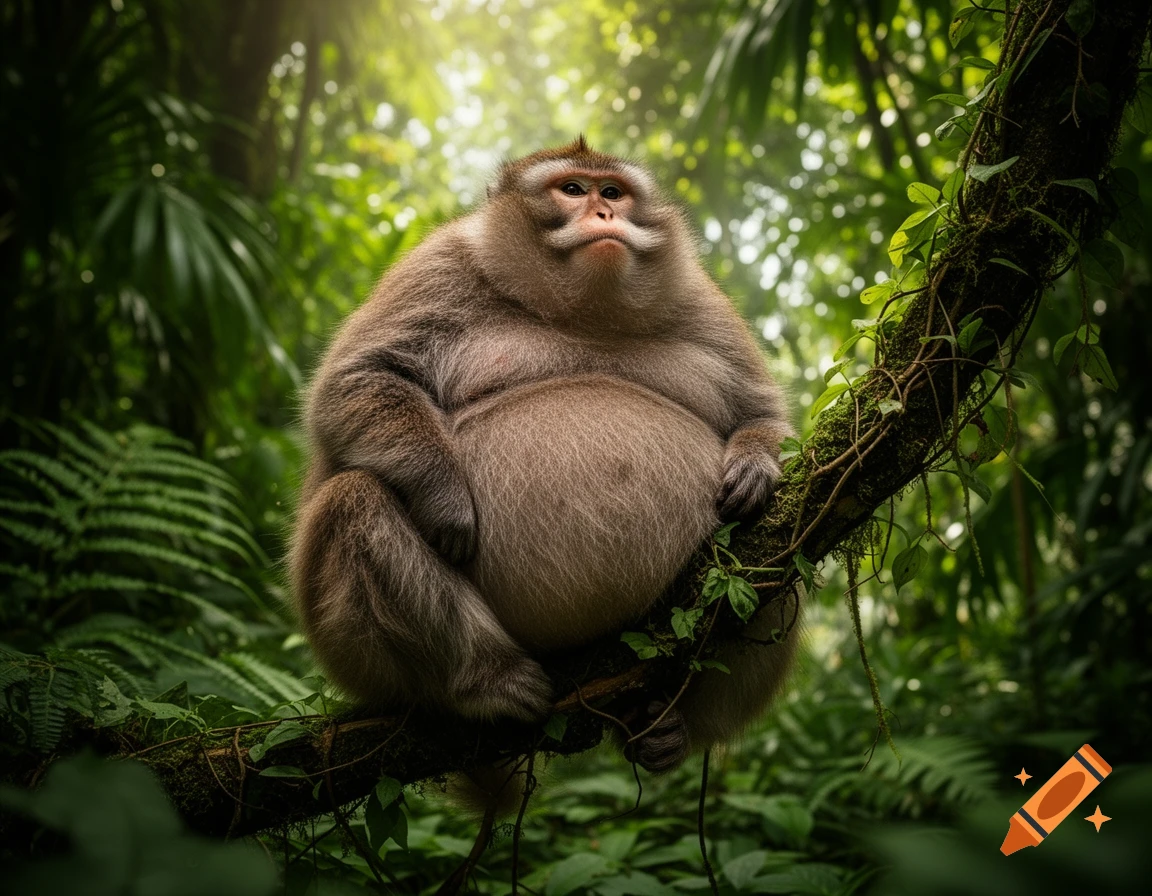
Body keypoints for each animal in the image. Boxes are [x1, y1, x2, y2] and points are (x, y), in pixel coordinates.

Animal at [289, 138, 798, 776]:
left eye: (613, 192)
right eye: (573, 190)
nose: (603, 214)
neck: (582, 310)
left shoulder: (698, 296)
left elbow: (764, 415)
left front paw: (755, 463)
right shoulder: (439, 265)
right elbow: (356, 380)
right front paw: (445, 495)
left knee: (779, 559)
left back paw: (669, 728)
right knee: (351, 499)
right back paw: (484, 682)